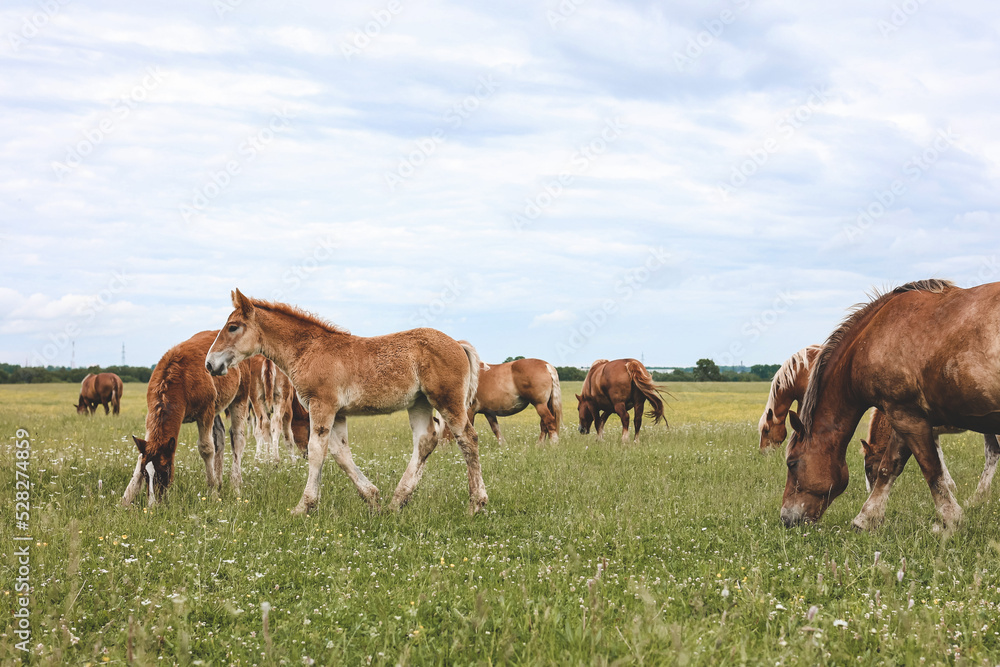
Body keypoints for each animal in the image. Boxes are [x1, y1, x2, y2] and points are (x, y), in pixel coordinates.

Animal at [122, 330, 251, 506]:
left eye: (165, 471)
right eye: (144, 473)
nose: (153, 505)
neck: (181, 379)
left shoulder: (205, 411)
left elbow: (206, 448)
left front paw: (212, 494)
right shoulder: (151, 417)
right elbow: (141, 455)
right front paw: (127, 498)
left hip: (240, 397)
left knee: (237, 437)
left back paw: (235, 486)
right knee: (220, 434)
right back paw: (219, 483)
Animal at [205, 289, 487, 515]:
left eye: (233, 326)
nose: (210, 364)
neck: (309, 350)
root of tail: (457, 344)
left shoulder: (322, 406)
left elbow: (316, 452)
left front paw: (303, 506)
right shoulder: (337, 413)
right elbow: (340, 453)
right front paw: (372, 498)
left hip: (447, 400)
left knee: (468, 439)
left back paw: (476, 504)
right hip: (419, 403)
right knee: (426, 440)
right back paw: (397, 501)